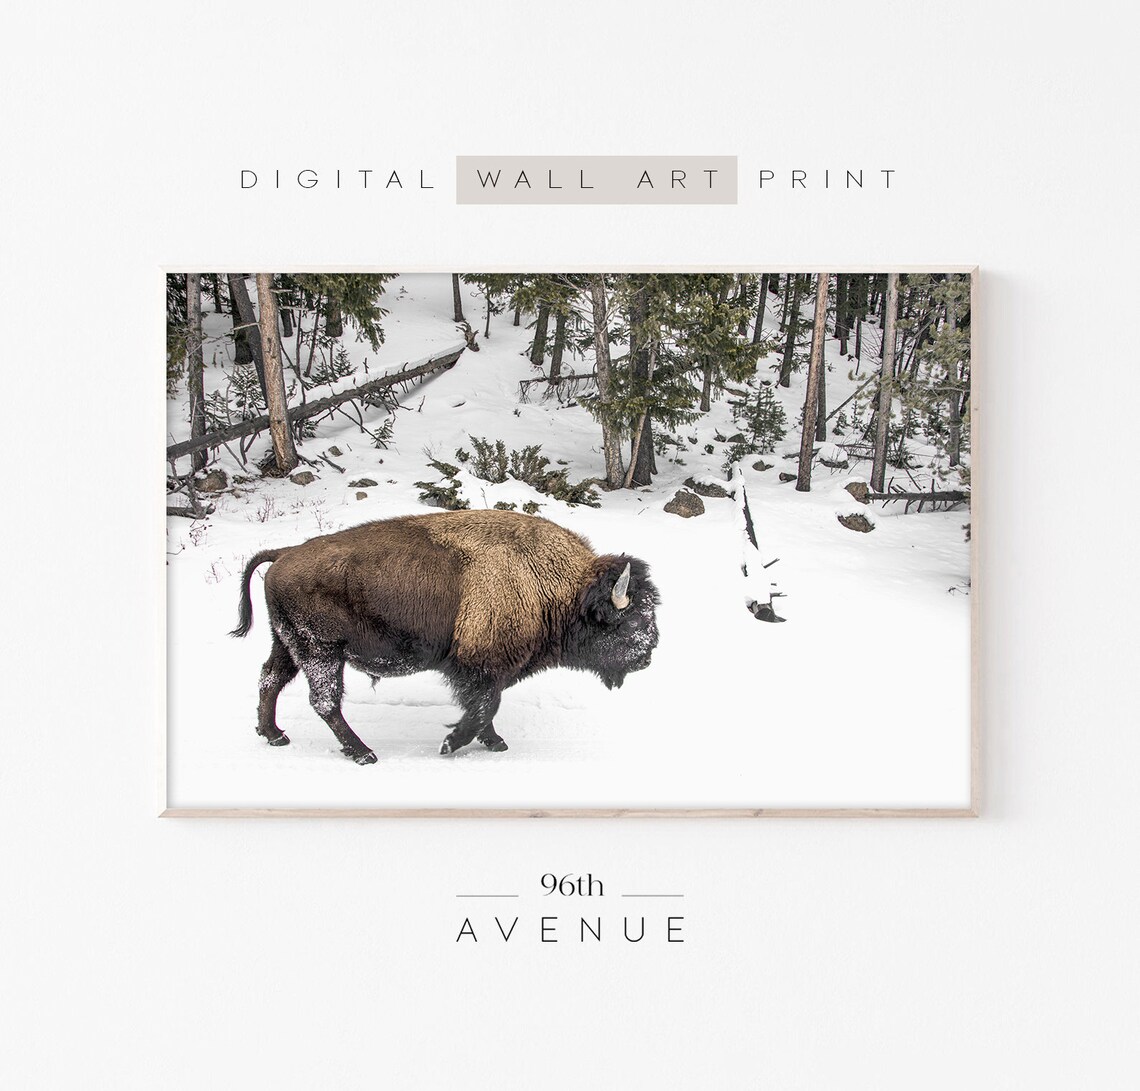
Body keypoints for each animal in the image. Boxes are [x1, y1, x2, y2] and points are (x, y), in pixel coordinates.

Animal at [232, 509, 660, 764]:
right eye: (631, 620)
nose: (648, 653)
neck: (554, 583)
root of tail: (284, 554)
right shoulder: (478, 666)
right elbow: (484, 706)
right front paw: (451, 744)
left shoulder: (487, 671)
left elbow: (486, 707)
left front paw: (495, 742)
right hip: (321, 651)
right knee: (324, 701)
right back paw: (363, 753)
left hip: (290, 644)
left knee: (271, 679)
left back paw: (274, 735)